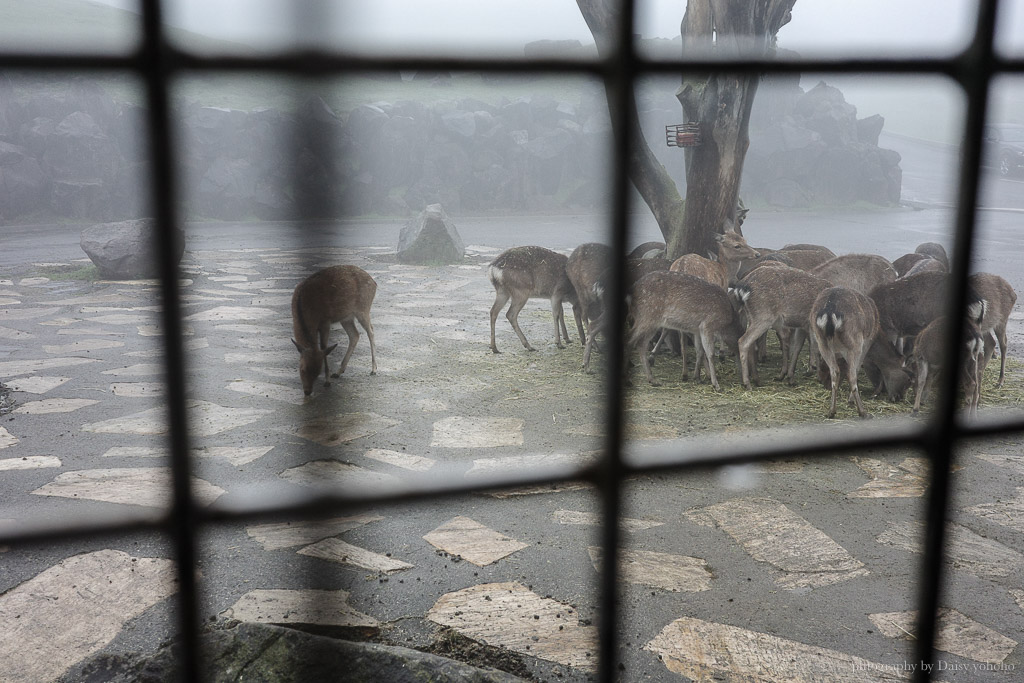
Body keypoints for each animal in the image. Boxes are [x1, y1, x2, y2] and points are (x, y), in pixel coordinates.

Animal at [290, 266, 378, 397]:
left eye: (318, 371)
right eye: (302, 369)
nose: (307, 391)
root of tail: (374, 283)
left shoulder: (326, 321)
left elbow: (324, 347)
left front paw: (327, 381)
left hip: (363, 308)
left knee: (371, 331)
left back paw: (373, 369)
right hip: (346, 317)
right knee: (355, 335)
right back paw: (338, 371)